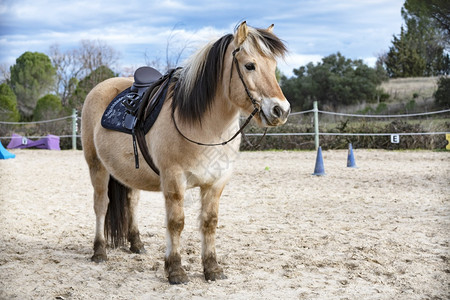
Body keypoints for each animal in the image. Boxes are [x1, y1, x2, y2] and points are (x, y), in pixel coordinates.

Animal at [81, 21, 290, 284]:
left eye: (273, 67)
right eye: (249, 65)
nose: (281, 110)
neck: (202, 125)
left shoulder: (216, 182)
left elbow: (209, 223)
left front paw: (212, 268)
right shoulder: (174, 179)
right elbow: (176, 222)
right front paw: (175, 269)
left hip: (129, 173)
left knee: (132, 202)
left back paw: (136, 243)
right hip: (96, 166)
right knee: (101, 205)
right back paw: (99, 251)